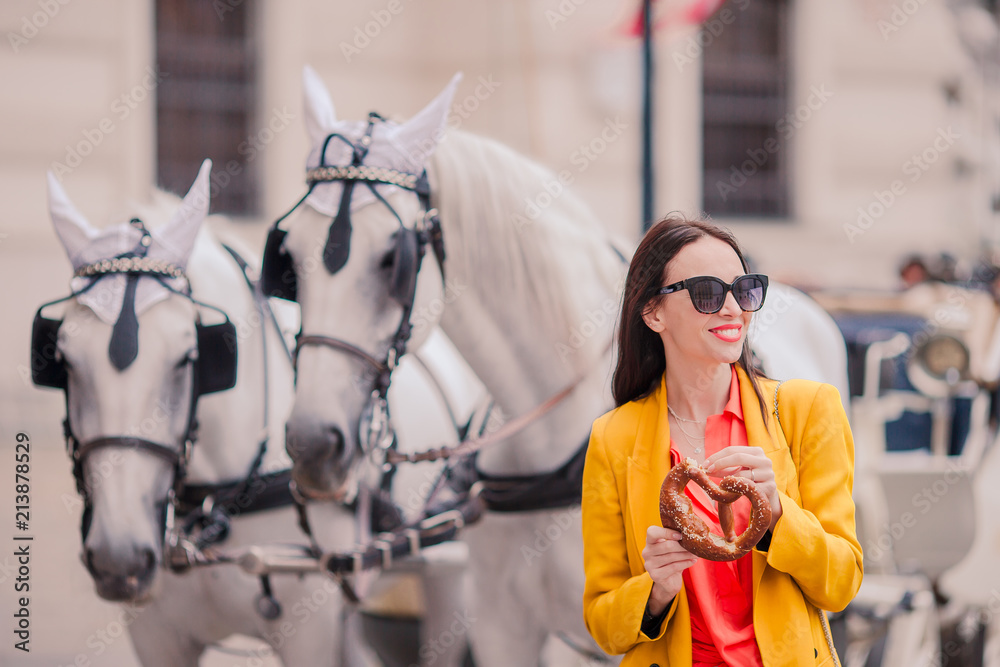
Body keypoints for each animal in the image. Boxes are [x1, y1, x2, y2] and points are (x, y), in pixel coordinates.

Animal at [274, 69, 860, 667]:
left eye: (393, 258)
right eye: (289, 258)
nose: (313, 445)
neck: (551, 439)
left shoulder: (580, 643)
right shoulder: (501, 627)